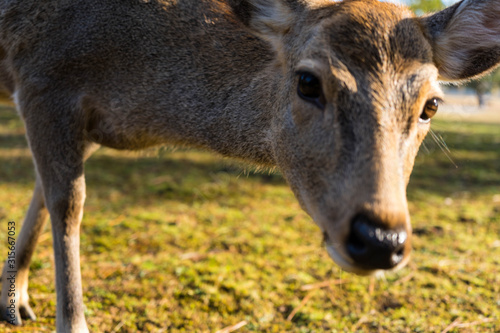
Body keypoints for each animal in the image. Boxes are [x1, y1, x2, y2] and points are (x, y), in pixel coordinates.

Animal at [0, 0, 498, 330]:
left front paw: (15, 299)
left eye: (431, 104)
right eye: (307, 81)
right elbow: (68, 205)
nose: (380, 239)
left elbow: (45, 193)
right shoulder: (42, 75)